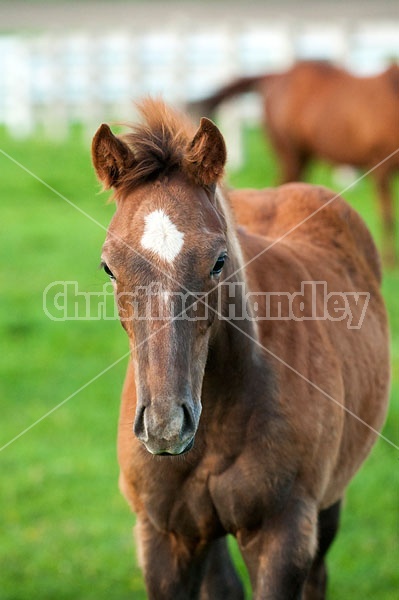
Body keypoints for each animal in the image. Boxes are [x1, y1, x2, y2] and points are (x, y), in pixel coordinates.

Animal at [91, 101, 390, 596]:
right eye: (108, 267)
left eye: (218, 262)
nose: (165, 426)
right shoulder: (164, 537)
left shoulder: (283, 535)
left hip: (329, 500)